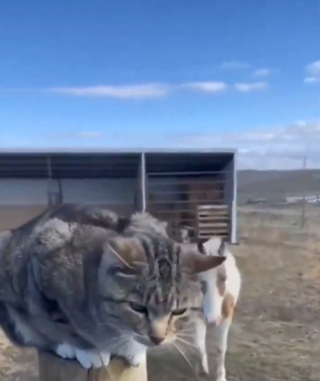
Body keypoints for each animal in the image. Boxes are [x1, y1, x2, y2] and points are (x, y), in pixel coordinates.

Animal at [0, 205, 225, 368]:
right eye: (138, 307)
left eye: (179, 311)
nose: (157, 338)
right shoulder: (44, 262)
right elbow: (61, 324)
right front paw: (88, 350)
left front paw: (135, 350)